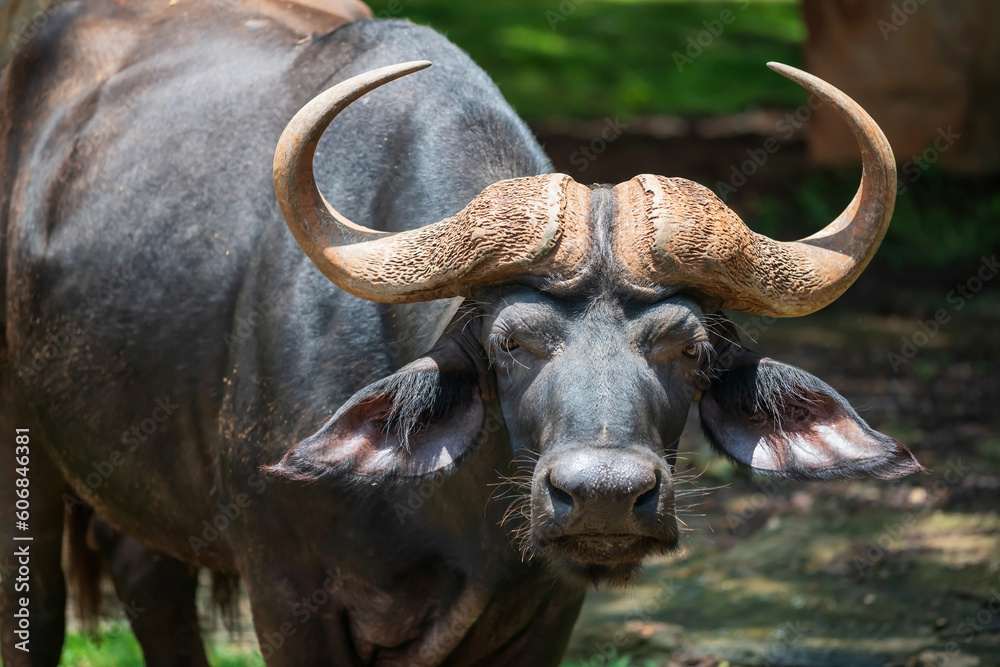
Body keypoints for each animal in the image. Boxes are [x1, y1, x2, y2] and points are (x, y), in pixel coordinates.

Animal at [1, 0, 922, 665]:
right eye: (510, 342)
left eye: (690, 349)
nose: (604, 493)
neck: (456, 520)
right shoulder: (288, 593)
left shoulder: (547, 609)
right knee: (42, 602)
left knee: (147, 580)